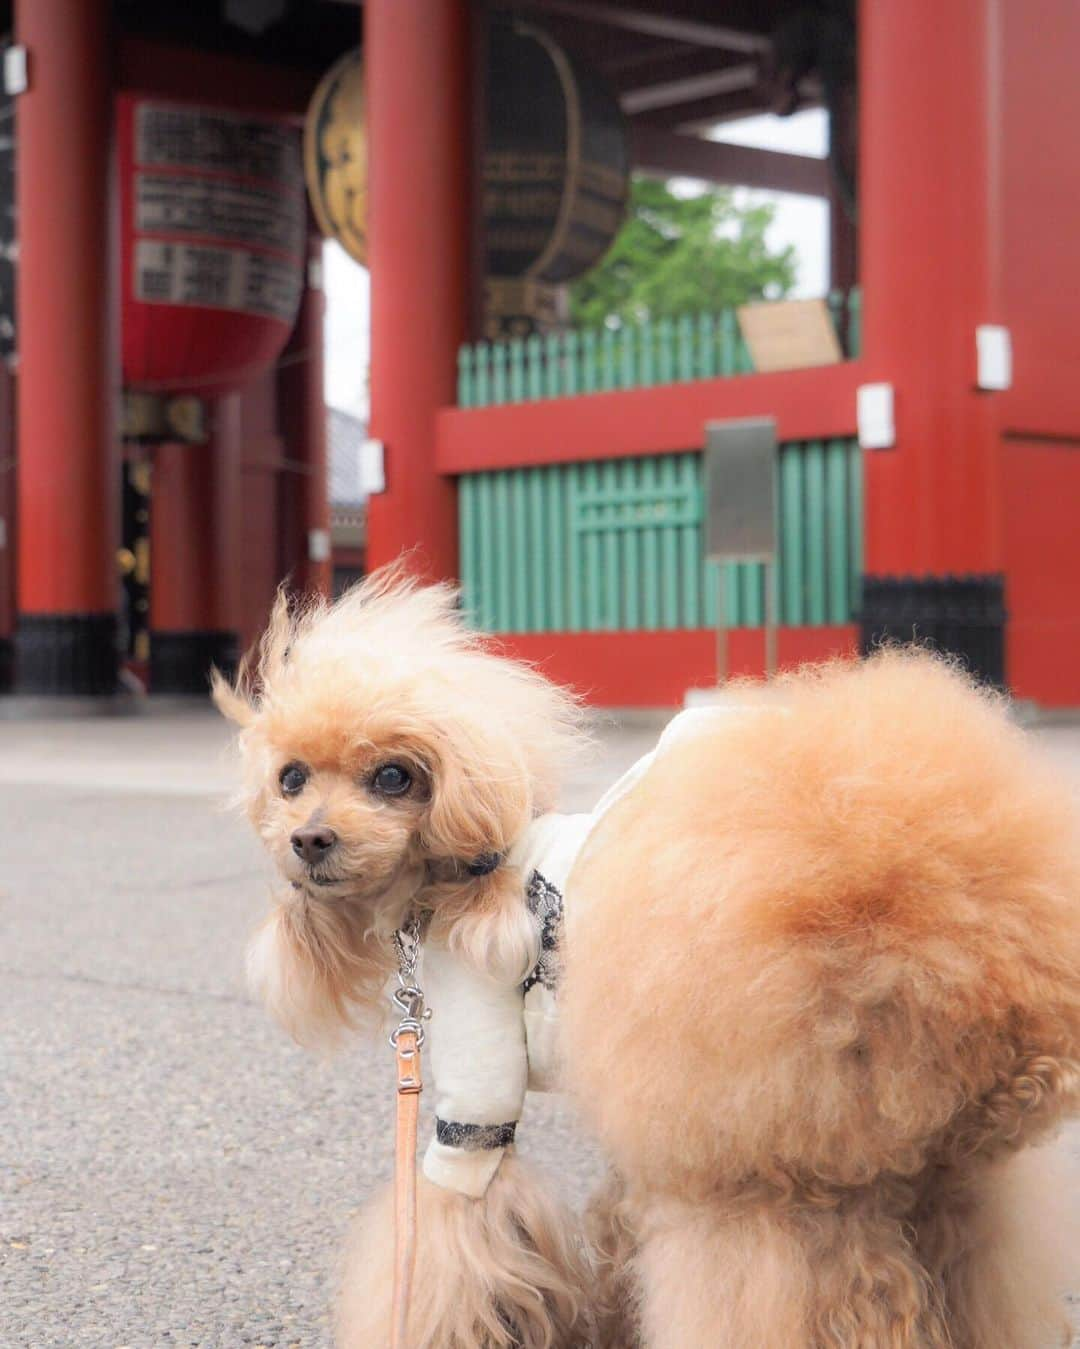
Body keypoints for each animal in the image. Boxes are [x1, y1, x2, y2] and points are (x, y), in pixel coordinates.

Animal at [214, 563, 1078, 1343]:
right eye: (291, 778)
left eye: (393, 776)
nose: (309, 839)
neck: (463, 873)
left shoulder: (476, 1080)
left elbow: (450, 1227)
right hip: (931, 1170)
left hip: (768, 1169)